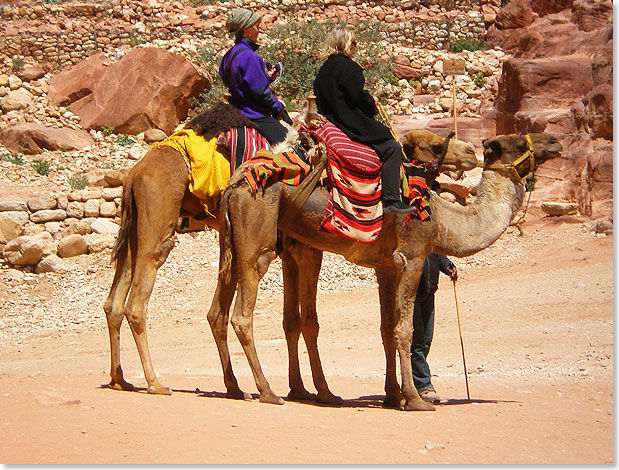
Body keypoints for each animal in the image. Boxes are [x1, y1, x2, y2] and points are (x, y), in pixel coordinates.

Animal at [104, 100, 478, 396]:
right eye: (433, 145)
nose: (473, 151)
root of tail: (134, 173)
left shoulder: (291, 251)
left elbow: (291, 320)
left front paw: (299, 388)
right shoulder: (306, 250)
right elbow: (307, 320)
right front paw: (320, 390)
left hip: (136, 227)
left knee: (116, 301)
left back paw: (128, 379)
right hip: (159, 219)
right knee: (139, 299)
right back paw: (156, 382)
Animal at [207, 133, 560, 412]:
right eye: (517, 142)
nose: (555, 141)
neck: (443, 220)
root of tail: (236, 181)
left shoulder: (386, 268)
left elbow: (386, 328)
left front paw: (393, 395)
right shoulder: (412, 258)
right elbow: (405, 329)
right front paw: (416, 400)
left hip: (236, 242)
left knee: (219, 312)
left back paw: (242, 388)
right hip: (257, 238)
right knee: (242, 314)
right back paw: (268, 391)